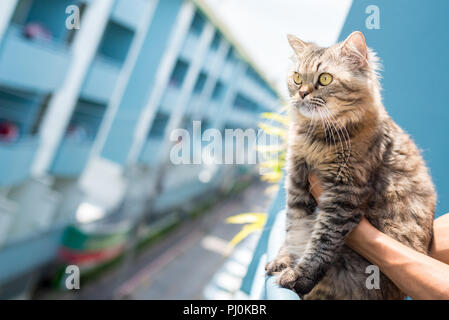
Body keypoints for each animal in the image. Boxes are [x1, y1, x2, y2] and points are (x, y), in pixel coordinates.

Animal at [264, 31, 436, 298]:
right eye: (297, 78)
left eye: (325, 79)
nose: (302, 93)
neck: (317, 136)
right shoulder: (297, 182)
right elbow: (294, 229)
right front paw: (284, 262)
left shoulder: (344, 193)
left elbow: (321, 242)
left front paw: (298, 278)